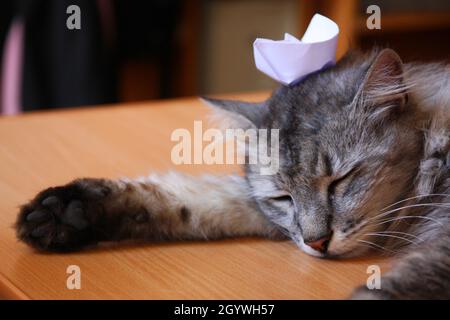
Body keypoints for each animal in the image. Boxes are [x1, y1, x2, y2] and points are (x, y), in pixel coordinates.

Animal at [14, 48, 450, 298]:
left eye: (340, 181)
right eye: (283, 198)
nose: (317, 244)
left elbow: (419, 275)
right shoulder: (260, 207)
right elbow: (188, 199)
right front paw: (63, 213)